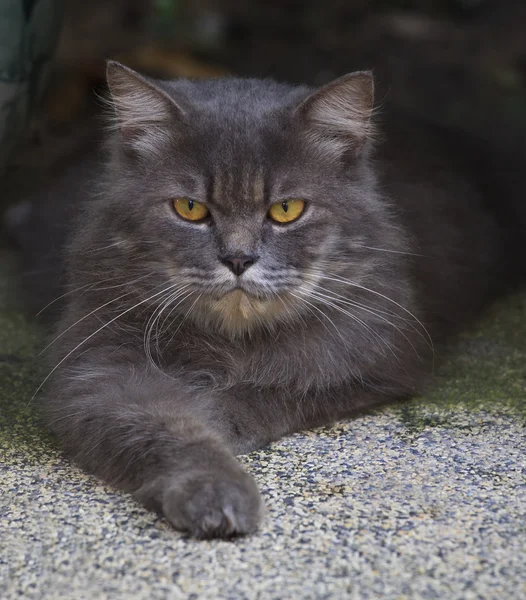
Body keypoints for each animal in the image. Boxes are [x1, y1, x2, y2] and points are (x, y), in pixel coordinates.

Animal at [5, 62, 526, 540]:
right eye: (189, 208)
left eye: (286, 210)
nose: (238, 259)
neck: (233, 341)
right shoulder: (100, 368)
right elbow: (169, 429)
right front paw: (215, 493)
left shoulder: (376, 361)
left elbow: (272, 392)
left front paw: (215, 411)